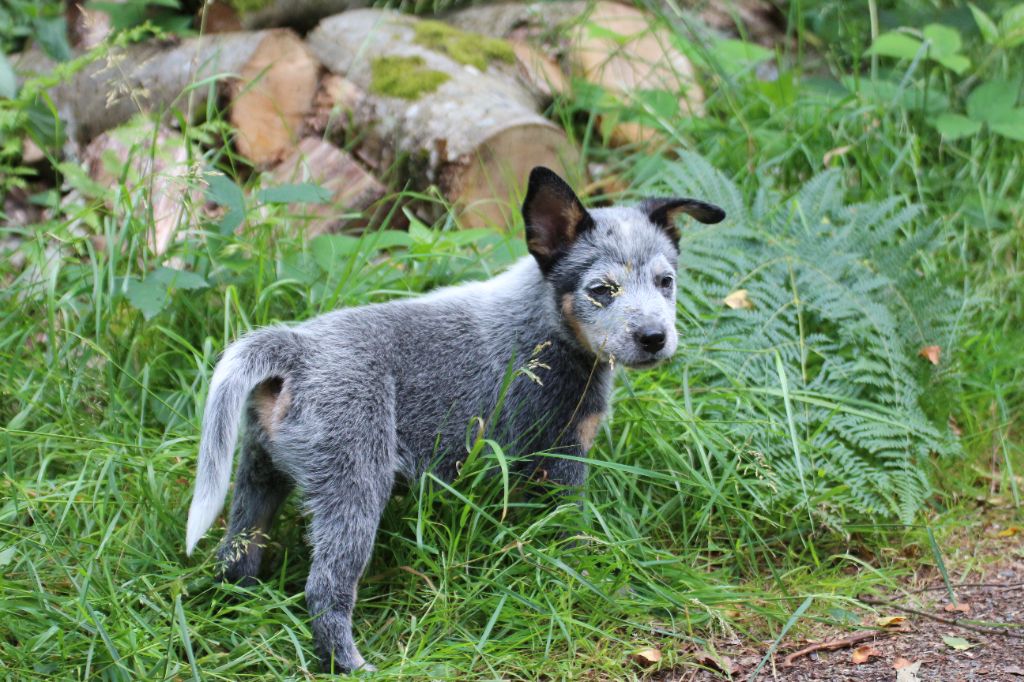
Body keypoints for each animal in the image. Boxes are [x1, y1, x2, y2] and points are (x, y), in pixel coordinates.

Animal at [186, 165, 729, 667]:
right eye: (602, 290)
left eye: (666, 282)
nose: (655, 338)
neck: (546, 321)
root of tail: (296, 348)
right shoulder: (561, 456)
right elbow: (571, 533)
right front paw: (595, 580)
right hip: (356, 485)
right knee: (325, 589)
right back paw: (354, 664)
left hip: (257, 476)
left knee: (236, 554)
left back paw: (237, 607)